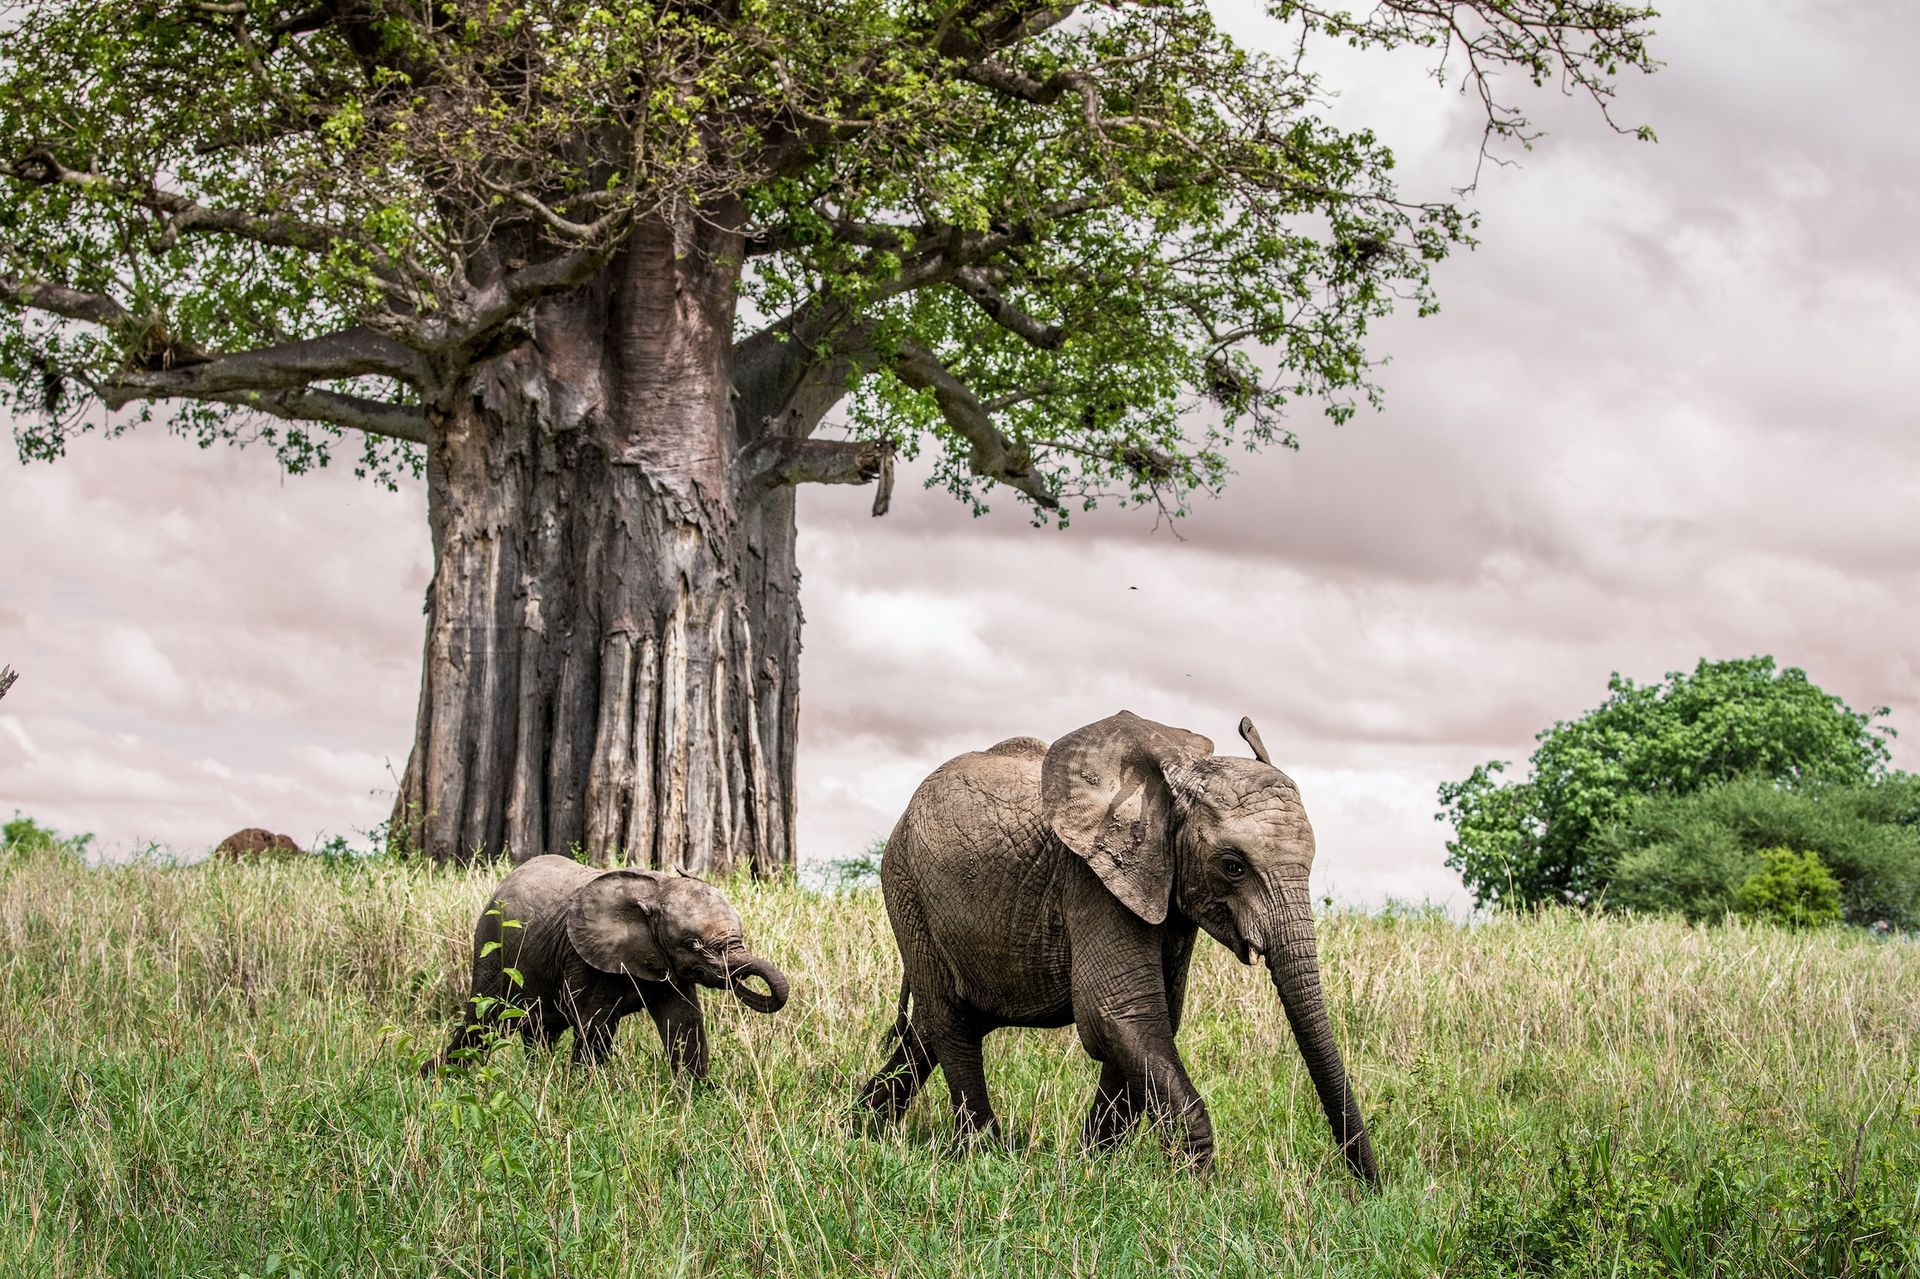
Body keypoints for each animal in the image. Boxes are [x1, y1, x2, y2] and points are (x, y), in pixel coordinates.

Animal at [427, 854, 790, 1076]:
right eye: (693, 945)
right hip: (491, 945)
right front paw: (583, 1091)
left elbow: (683, 1021)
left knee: (540, 1030)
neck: (656, 890)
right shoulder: (583, 955)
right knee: (482, 1021)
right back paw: (437, 1075)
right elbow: (595, 1022)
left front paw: (695, 1094)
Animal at [855, 710, 1380, 1183]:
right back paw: (982, 1154)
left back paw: (859, 1130)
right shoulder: (1091, 879)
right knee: (952, 1022)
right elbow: (1120, 1013)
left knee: (930, 1028)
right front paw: (1197, 1190)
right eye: (1233, 866)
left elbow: (1149, 1020)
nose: (1369, 1189)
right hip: (907, 889)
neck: (1172, 783)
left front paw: (1094, 1166)